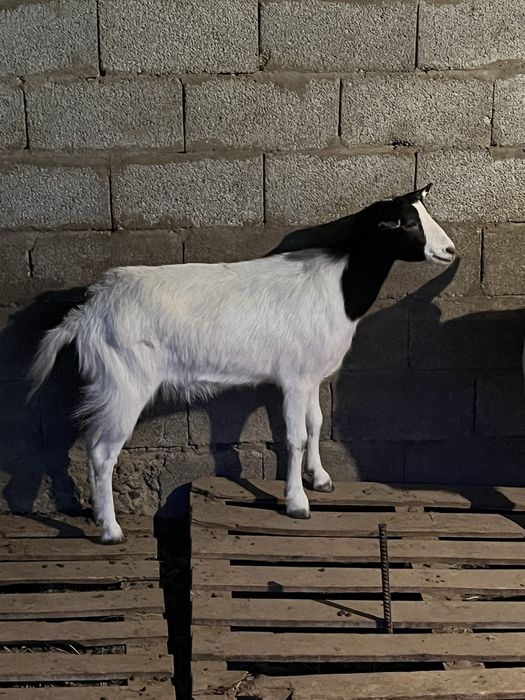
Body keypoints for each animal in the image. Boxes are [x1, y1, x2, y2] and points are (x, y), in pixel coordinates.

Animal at [29, 184, 455, 543]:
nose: (451, 251)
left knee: (85, 446)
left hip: (107, 385)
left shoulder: (310, 376)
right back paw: (112, 531)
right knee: (103, 452)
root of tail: (88, 311)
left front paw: (320, 479)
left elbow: (316, 424)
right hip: (124, 382)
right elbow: (295, 437)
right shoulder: (293, 378)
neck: (339, 286)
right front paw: (297, 503)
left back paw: (100, 519)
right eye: (407, 222)